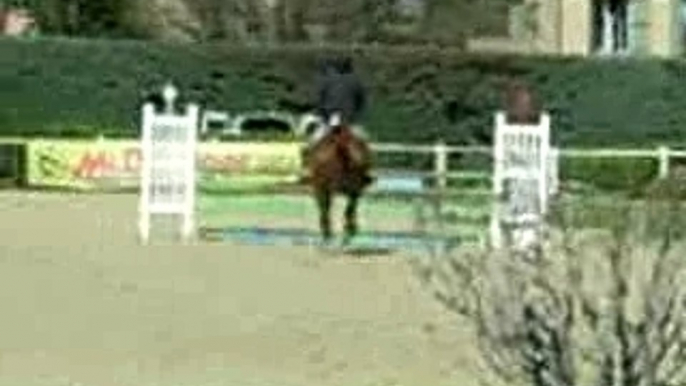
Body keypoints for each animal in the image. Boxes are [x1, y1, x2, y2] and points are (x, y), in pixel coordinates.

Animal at [302, 116, 376, 246]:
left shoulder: (320, 188)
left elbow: (324, 208)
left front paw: (327, 233)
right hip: (354, 188)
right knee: (350, 208)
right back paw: (349, 232)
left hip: (325, 186)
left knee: (330, 207)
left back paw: (337, 233)